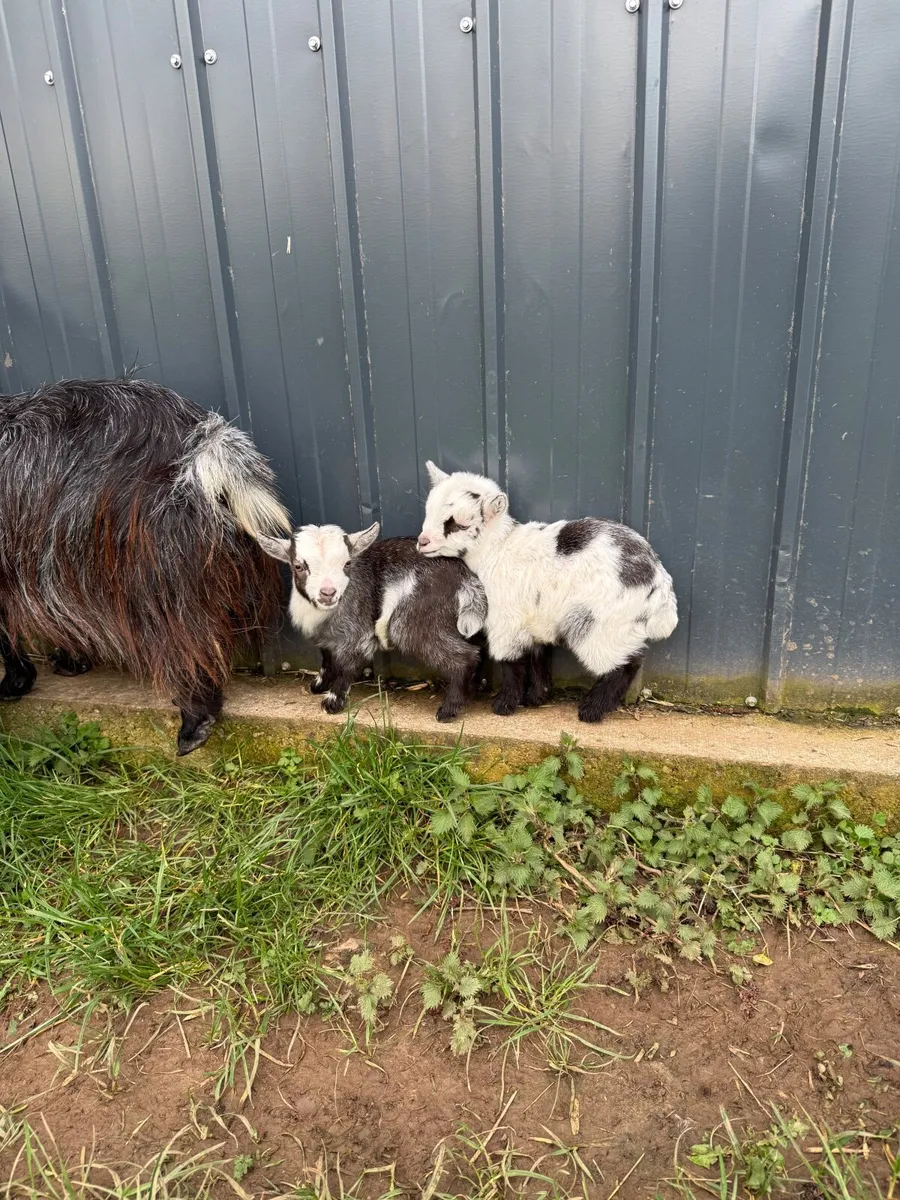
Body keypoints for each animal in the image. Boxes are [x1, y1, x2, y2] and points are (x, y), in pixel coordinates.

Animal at [0, 377, 290, 754]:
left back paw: (194, 721)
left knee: (183, 644)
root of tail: (205, 444)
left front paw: (16, 681)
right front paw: (68, 663)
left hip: (148, 574)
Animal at [257, 524, 488, 722]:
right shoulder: (324, 638)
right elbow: (326, 657)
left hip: (413, 620)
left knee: (466, 656)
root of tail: (467, 580)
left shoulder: (357, 633)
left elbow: (347, 664)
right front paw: (319, 685)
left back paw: (448, 710)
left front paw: (333, 702)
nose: (328, 593)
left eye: (347, 563)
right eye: (298, 566)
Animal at [416, 462, 678, 721]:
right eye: (428, 512)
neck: (497, 549)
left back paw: (592, 709)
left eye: (458, 524)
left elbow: (509, 662)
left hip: (601, 623)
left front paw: (504, 704)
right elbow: (538, 657)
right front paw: (536, 698)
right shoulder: (535, 620)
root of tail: (657, 579)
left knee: (625, 662)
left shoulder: (505, 621)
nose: (422, 542)